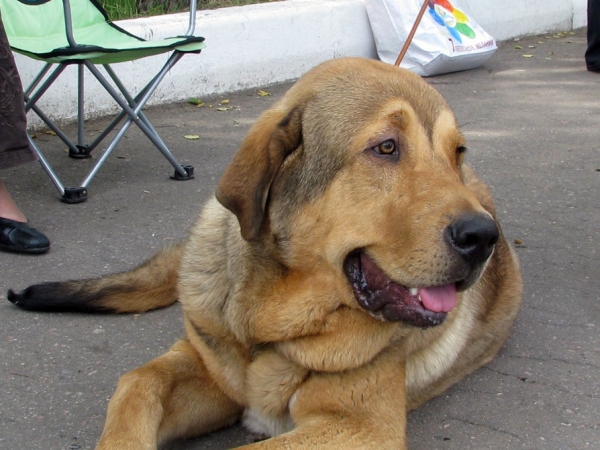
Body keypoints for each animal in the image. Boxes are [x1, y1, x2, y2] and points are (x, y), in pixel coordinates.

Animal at [7, 58, 520, 448]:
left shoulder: (357, 426)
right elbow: (137, 383)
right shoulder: (209, 374)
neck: (271, 323)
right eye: (387, 147)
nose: (483, 237)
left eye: (457, 153)